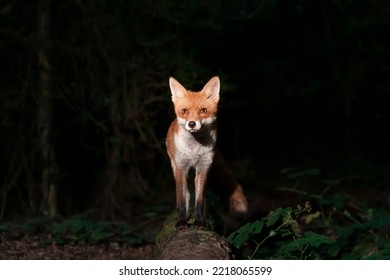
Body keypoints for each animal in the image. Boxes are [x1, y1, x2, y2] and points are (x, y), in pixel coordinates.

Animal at [165, 75, 247, 229]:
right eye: (184, 111)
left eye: (203, 110)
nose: (191, 124)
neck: (194, 149)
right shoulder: (181, 168)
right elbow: (182, 200)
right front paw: (181, 221)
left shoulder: (203, 168)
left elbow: (199, 201)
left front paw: (200, 221)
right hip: (175, 167)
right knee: (186, 195)